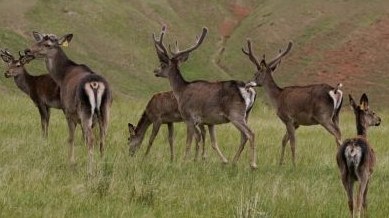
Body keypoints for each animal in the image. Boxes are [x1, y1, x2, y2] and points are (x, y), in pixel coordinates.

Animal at [25, 31, 111, 173]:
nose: (27, 50)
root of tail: (95, 84)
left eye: (48, 44)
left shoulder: (68, 112)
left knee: (92, 138)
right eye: (38, 40)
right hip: (105, 111)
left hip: (84, 110)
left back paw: (89, 169)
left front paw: (71, 161)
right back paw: (102, 163)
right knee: (102, 138)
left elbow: (71, 138)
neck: (61, 77)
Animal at [152, 25, 258, 169]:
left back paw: (253, 164)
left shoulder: (189, 117)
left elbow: (188, 143)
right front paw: (222, 160)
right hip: (247, 113)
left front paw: (183, 162)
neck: (181, 91)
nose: (155, 71)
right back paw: (234, 162)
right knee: (243, 136)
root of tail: (248, 88)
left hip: (235, 113)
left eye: (163, 65)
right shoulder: (210, 121)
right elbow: (213, 142)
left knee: (250, 134)